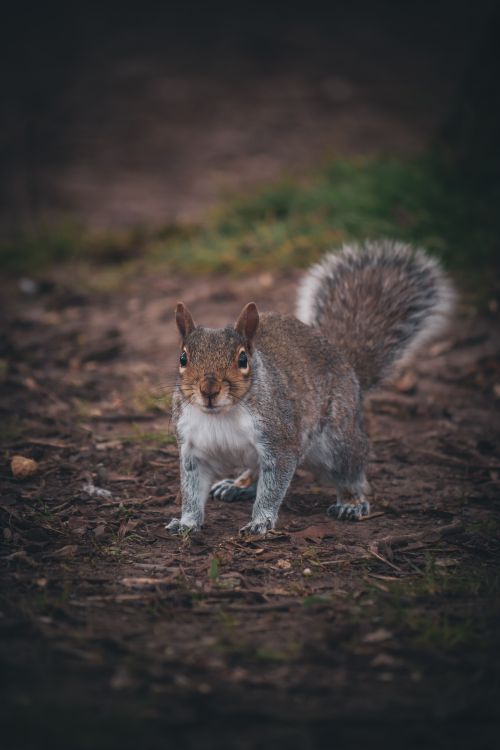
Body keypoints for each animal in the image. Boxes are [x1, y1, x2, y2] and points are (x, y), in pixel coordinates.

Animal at [166, 240, 454, 536]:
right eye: (183, 358)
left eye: (243, 359)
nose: (209, 390)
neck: (221, 414)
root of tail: (347, 365)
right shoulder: (193, 450)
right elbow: (191, 492)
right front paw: (187, 522)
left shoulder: (280, 442)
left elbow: (273, 488)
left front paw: (261, 521)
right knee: (256, 472)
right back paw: (238, 485)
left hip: (337, 440)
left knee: (353, 469)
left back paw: (351, 502)